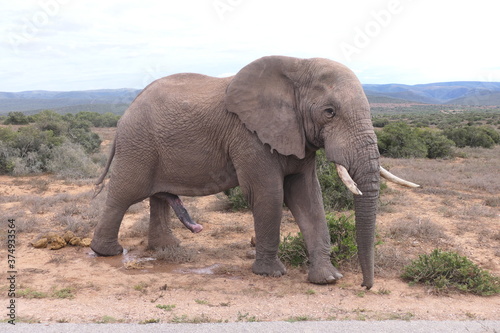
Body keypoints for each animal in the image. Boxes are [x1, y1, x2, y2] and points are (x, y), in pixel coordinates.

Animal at [90, 55, 418, 288]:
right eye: (329, 112)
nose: (365, 286)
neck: (297, 66)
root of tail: (123, 116)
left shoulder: (297, 137)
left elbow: (308, 197)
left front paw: (327, 279)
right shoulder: (249, 136)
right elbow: (269, 194)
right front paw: (270, 274)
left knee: (158, 196)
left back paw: (166, 249)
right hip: (138, 145)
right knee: (124, 194)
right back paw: (107, 252)